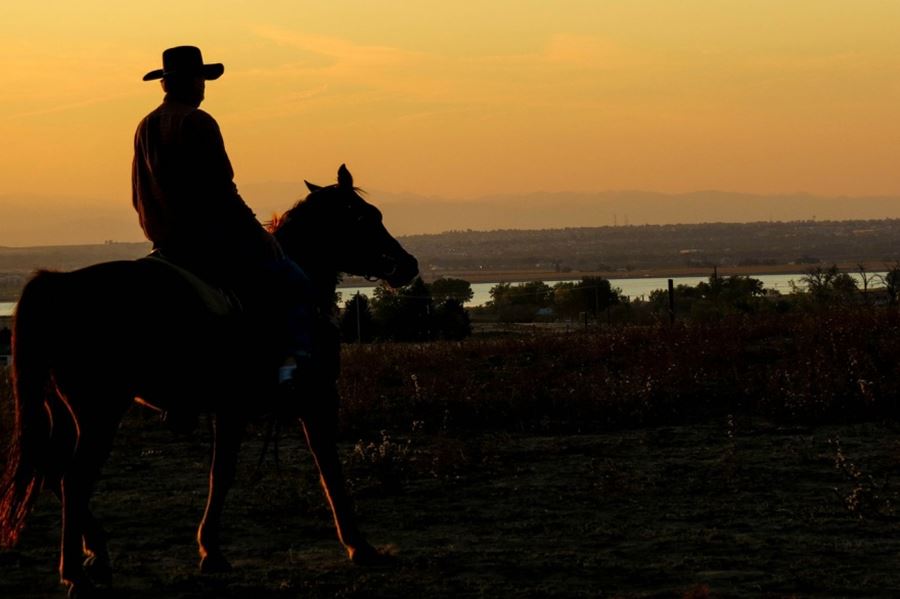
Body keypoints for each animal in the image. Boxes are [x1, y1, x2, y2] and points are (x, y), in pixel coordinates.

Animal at [0, 165, 422, 599]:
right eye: (365, 217)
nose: (407, 265)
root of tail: (59, 285)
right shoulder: (314, 398)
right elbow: (328, 471)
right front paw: (360, 546)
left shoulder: (231, 408)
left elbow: (220, 473)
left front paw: (210, 550)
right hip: (99, 412)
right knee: (73, 479)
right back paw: (76, 573)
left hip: (63, 409)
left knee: (53, 471)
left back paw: (96, 555)